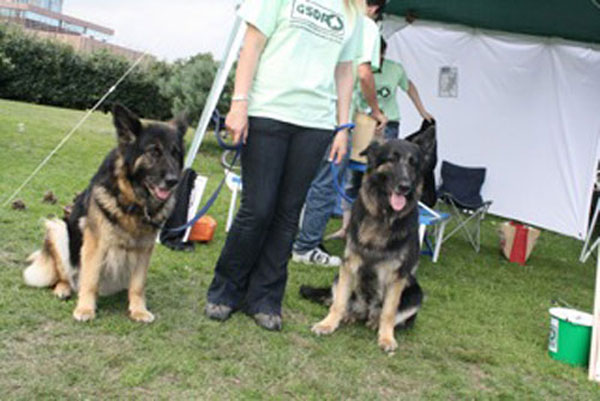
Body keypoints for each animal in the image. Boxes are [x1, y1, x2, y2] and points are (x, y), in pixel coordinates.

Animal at [23, 104, 186, 322]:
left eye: (175, 153)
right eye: (154, 152)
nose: (173, 181)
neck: (132, 202)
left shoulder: (144, 249)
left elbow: (138, 285)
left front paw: (138, 310)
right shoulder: (95, 245)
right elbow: (90, 280)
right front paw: (85, 309)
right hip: (57, 229)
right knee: (65, 276)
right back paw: (63, 289)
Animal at [304, 126, 436, 352]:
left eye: (413, 163)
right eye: (392, 159)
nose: (405, 187)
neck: (383, 216)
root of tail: (365, 311)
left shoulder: (398, 276)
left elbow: (389, 312)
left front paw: (386, 338)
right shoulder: (348, 265)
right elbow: (338, 303)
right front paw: (328, 324)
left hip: (415, 293)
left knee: (389, 315)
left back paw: (376, 323)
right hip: (338, 278)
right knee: (341, 302)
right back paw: (348, 316)